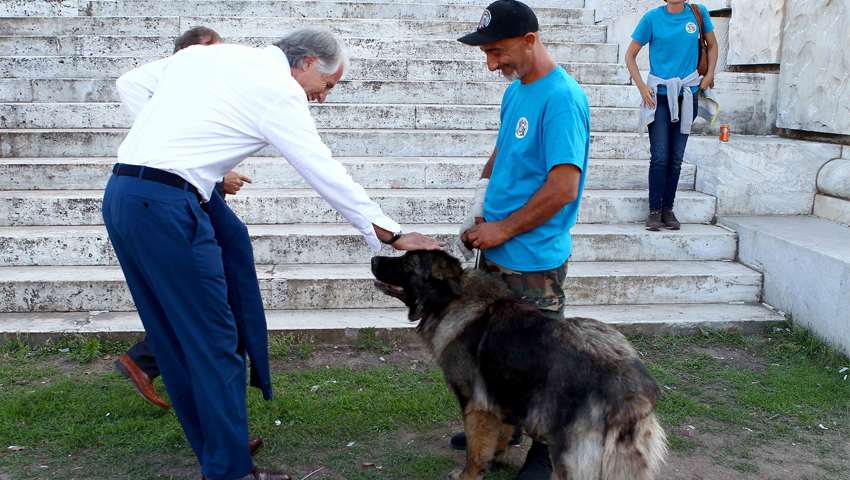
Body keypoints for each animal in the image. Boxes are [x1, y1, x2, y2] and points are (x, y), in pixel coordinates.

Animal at [370, 249, 664, 480]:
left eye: (406, 263)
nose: (373, 258)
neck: (450, 300)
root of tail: (628, 382)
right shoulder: (503, 397)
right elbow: (502, 433)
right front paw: (497, 459)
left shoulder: (475, 405)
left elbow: (474, 451)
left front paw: (468, 475)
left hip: (570, 452)